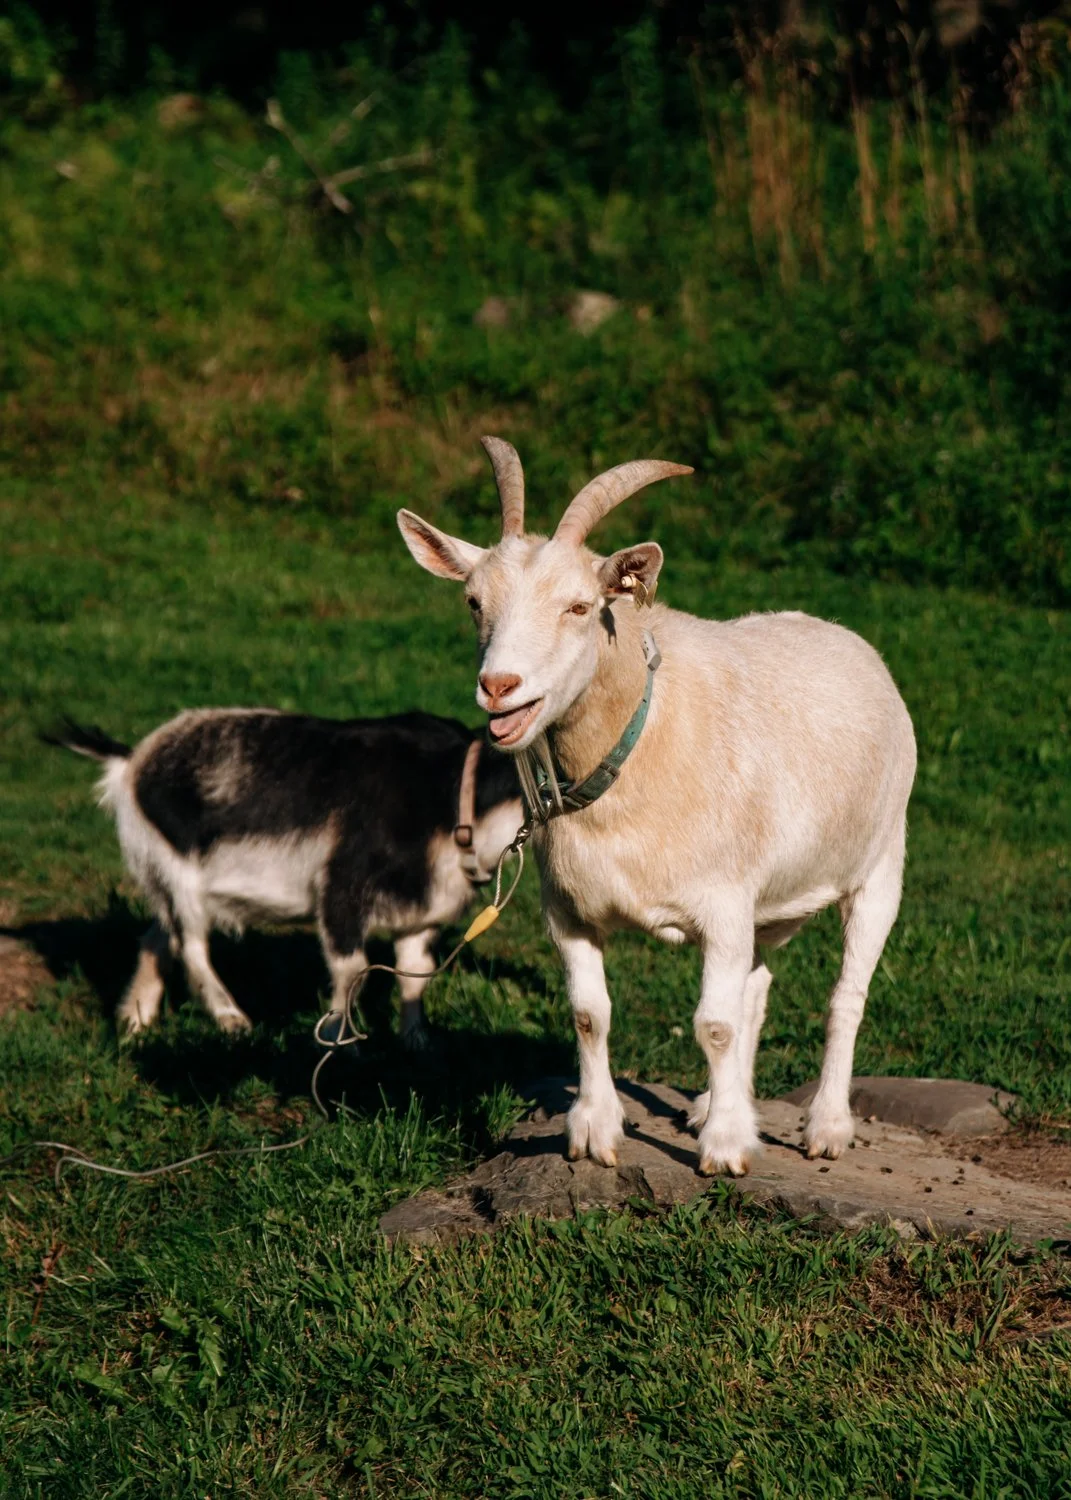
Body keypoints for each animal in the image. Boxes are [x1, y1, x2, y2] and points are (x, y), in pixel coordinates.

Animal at [49, 710, 522, 1042]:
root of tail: (131, 759)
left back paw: (135, 1023)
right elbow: (354, 968)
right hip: (176, 871)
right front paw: (338, 1041)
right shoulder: (342, 887)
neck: (452, 802)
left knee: (156, 936)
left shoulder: (420, 911)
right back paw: (233, 1021)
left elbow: (414, 972)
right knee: (190, 945)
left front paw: (419, 1042)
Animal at [397, 437, 917, 1174]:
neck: (633, 749)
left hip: (880, 864)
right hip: (769, 903)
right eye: (473, 601)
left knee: (844, 998)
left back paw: (826, 1126)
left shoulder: (723, 902)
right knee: (756, 988)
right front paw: (595, 1132)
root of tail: (847, 639)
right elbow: (591, 1013)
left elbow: (714, 1024)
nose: (499, 686)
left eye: (580, 607)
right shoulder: (568, 909)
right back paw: (715, 1104)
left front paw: (724, 1147)